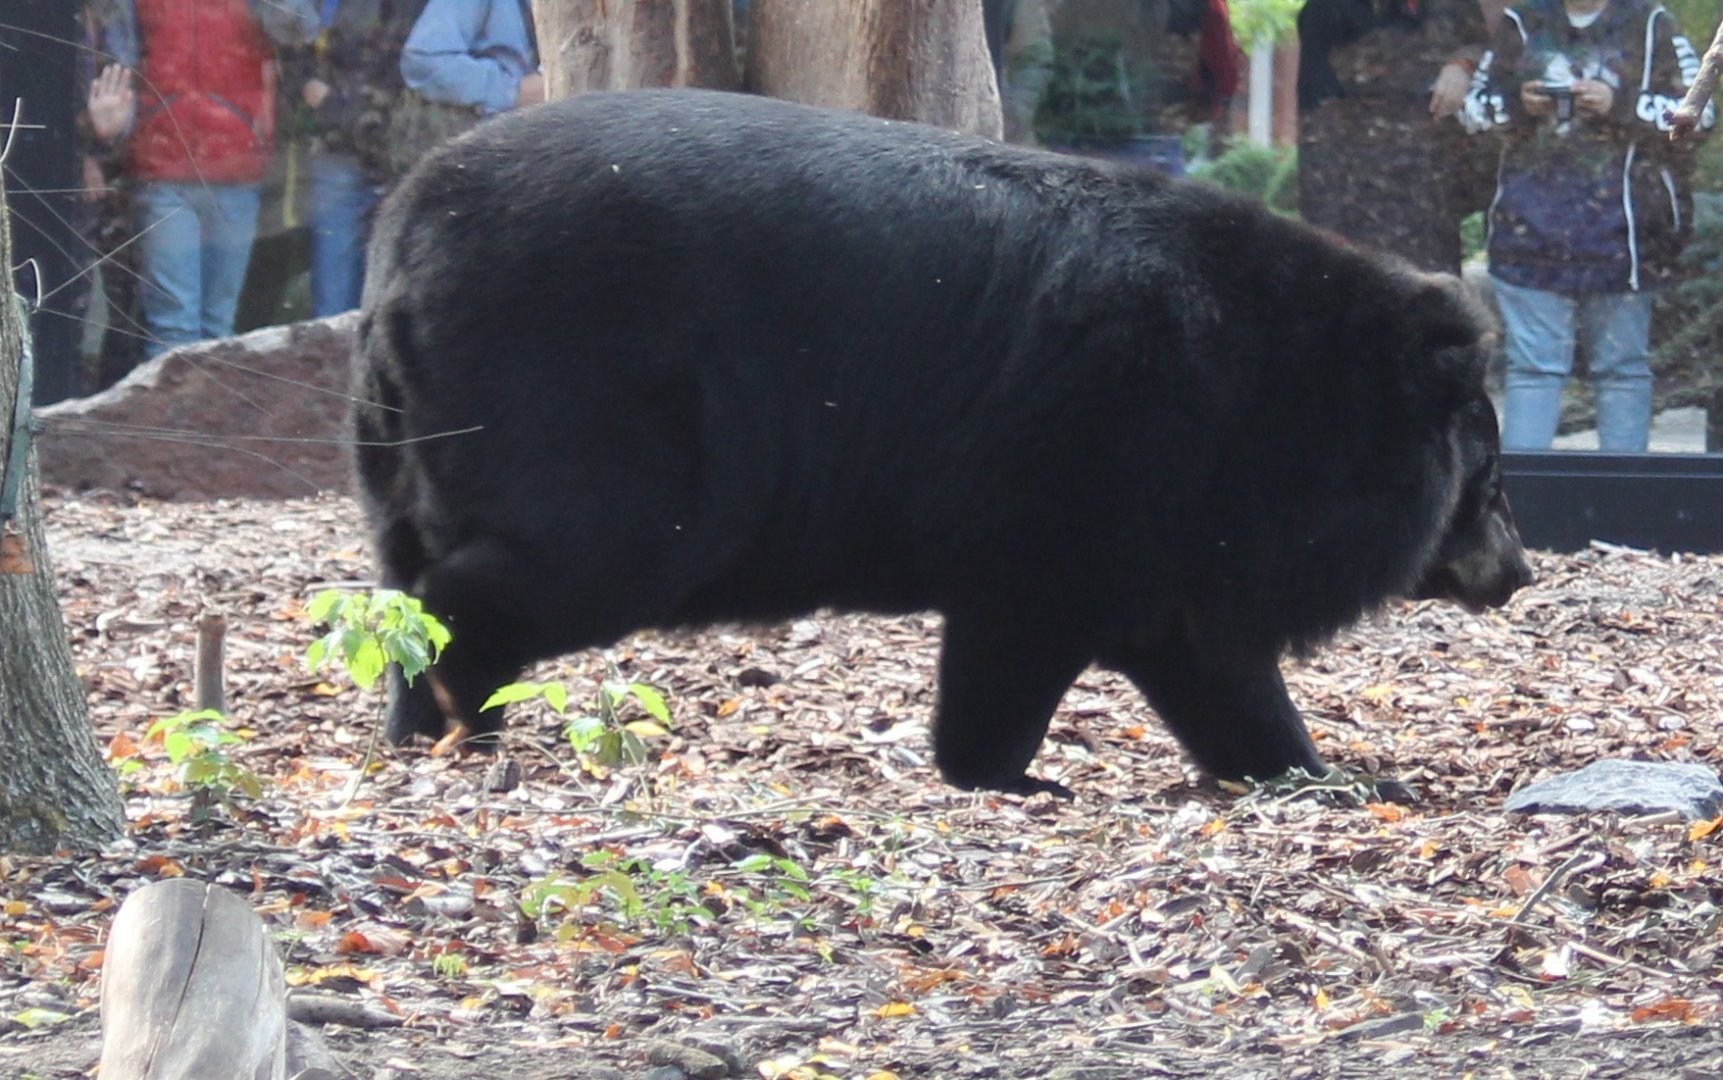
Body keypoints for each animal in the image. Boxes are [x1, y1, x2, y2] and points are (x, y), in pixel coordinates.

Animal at [351, 89, 1533, 796]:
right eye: (1487, 482)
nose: (1517, 572)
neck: (1278, 401)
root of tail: (402, 237)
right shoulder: (1105, 446)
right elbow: (1029, 632)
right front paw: (1011, 777)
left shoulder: (1177, 525)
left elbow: (1206, 659)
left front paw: (1320, 770)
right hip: (598, 410)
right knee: (552, 563)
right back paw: (456, 708)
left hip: (415, 441)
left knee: (412, 572)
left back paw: (431, 719)